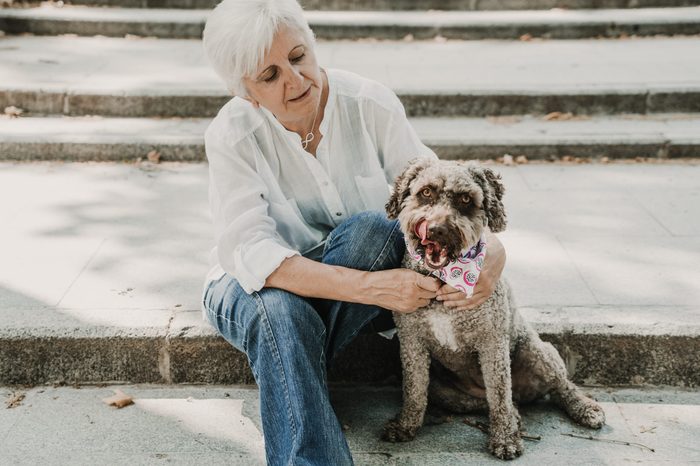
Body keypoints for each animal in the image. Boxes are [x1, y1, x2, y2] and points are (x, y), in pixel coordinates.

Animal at [380, 158, 604, 460]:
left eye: (466, 199)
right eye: (426, 192)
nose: (437, 229)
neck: (443, 281)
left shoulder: (492, 342)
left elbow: (499, 392)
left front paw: (505, 439)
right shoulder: (412, 342)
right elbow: (414, 390)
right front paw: (405, 426)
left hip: (538, 353)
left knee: (556, 386)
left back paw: (584, 408)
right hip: (445, 392)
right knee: (488, 401)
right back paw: (516, 416)